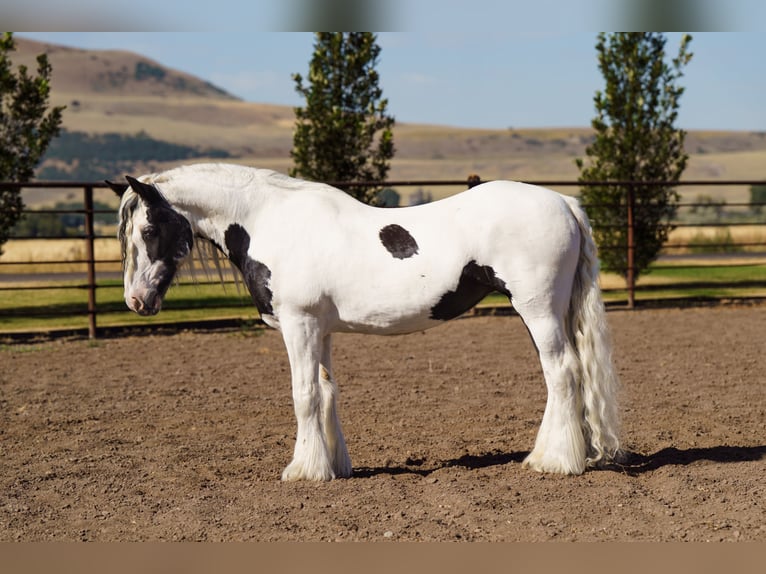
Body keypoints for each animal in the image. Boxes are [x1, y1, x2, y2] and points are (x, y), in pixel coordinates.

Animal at [109, 163, 621, 481]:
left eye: (149, 229)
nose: (136, 301)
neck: (271, 221)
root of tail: (564, 202)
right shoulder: (320, 330)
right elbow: (327, 391)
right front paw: (332, 465)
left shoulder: (299, 326)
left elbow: (304, 395)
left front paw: (303, 471)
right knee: (563, 376)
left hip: (538, 310)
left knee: (562, 373)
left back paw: (557, 461)